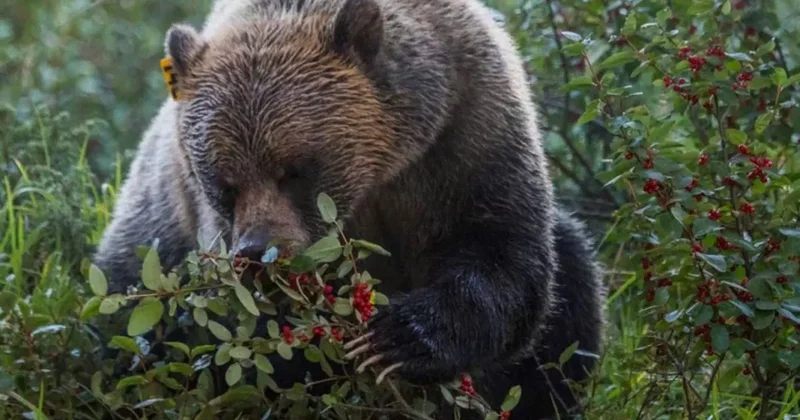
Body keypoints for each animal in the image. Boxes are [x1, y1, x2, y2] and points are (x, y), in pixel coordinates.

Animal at [92, 0, 607, 418]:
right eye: (223, 184)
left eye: (294, 170)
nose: (258, 253)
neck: (381, 173)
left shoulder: (465, 134)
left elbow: (503, 255)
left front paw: (396, 338)